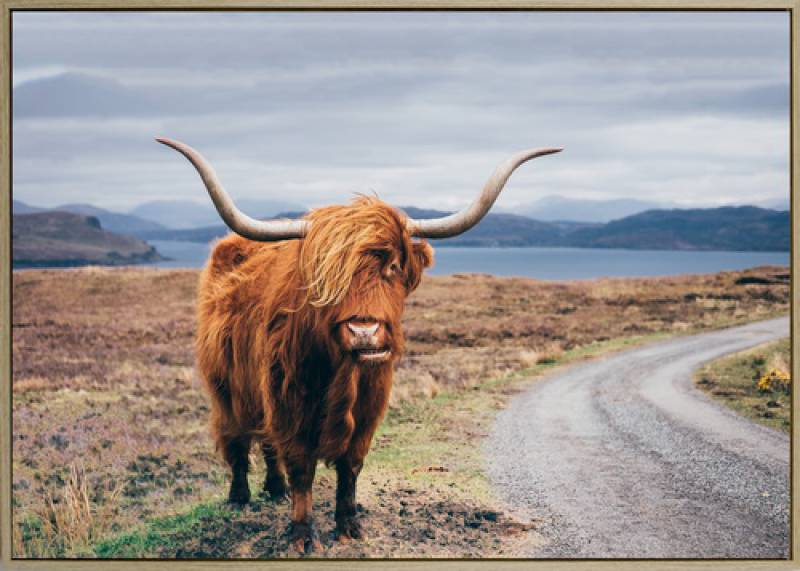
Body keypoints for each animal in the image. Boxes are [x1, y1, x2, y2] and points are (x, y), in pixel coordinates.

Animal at [156, 137, 561, 553]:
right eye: (326, 276)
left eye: (393, 266)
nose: (364, 332)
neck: (341, 375)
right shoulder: (287, 401)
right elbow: (301, 466)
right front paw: (303, 535)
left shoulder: (369, 406)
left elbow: (350, 467)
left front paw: (349, 526)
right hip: (226, 385)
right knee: (236, 438)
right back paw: (240, 497)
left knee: (266, 444)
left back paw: (275, 488)